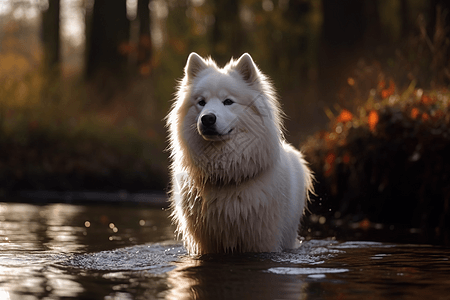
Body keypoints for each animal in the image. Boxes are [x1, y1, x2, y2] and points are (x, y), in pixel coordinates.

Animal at [166, 52, 312, 254]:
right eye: (201, 102)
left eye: (228, 102)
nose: (207, 118)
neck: (226, 176)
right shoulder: (206, 244)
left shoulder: (262, 241)